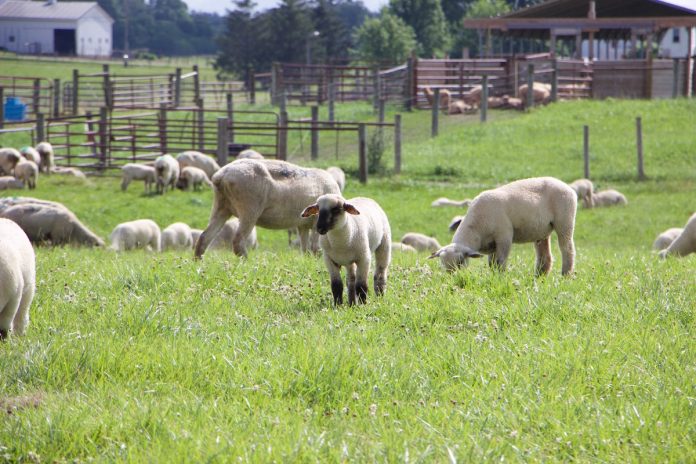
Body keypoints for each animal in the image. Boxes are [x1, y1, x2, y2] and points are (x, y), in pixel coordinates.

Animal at [194, 159, 340, 258]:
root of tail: (221, 175)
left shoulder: (303, 225)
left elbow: (305, 248)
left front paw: (306, 260)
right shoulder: (316, 222)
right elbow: (316, 248)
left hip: (221, 206)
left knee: (204, 237)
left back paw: (198, 263)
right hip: (249, 209)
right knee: (238, 241)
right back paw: (247, 263)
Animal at [429, 177, 577, 276]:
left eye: (460, 261)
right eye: (442, 263)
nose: (453, 277)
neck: (476, 226)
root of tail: (567, 187)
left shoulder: (504, 237)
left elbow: (500, 262)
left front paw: (500, 277)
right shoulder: (492, 245)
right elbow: (492, 264)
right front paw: (493, 277)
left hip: (565, 221)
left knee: (567, 249)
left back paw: (565, 274)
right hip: (541, 231)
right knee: (545, 255)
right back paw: (539, 276)